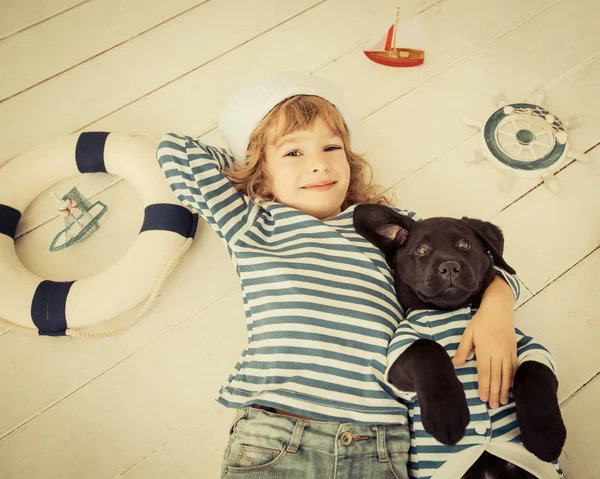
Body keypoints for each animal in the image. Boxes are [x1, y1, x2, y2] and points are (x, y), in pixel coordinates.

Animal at [354, 205, 564, 479]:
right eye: (422, 250)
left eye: (465, 245)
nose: (450, 267)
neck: (451, 311)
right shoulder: (398, 359)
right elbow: (427, 349)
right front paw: (447, 414)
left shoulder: (527, 347)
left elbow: (532, 370)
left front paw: (545, 434)